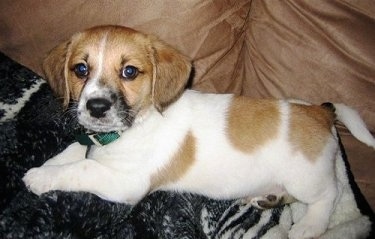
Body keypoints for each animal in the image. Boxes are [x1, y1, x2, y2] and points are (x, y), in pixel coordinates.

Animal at [24, 24, 375, 239]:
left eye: (129, 71)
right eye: (80, 69)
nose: (96, 107)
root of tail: (319, 111)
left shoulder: (126, 183)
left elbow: (81, 168)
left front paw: (39, 177)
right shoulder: (92, 146)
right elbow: (73, 152)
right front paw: (47, 166)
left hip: (306, 177)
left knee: (330, 195)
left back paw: (309, 226)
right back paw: (267, 198)